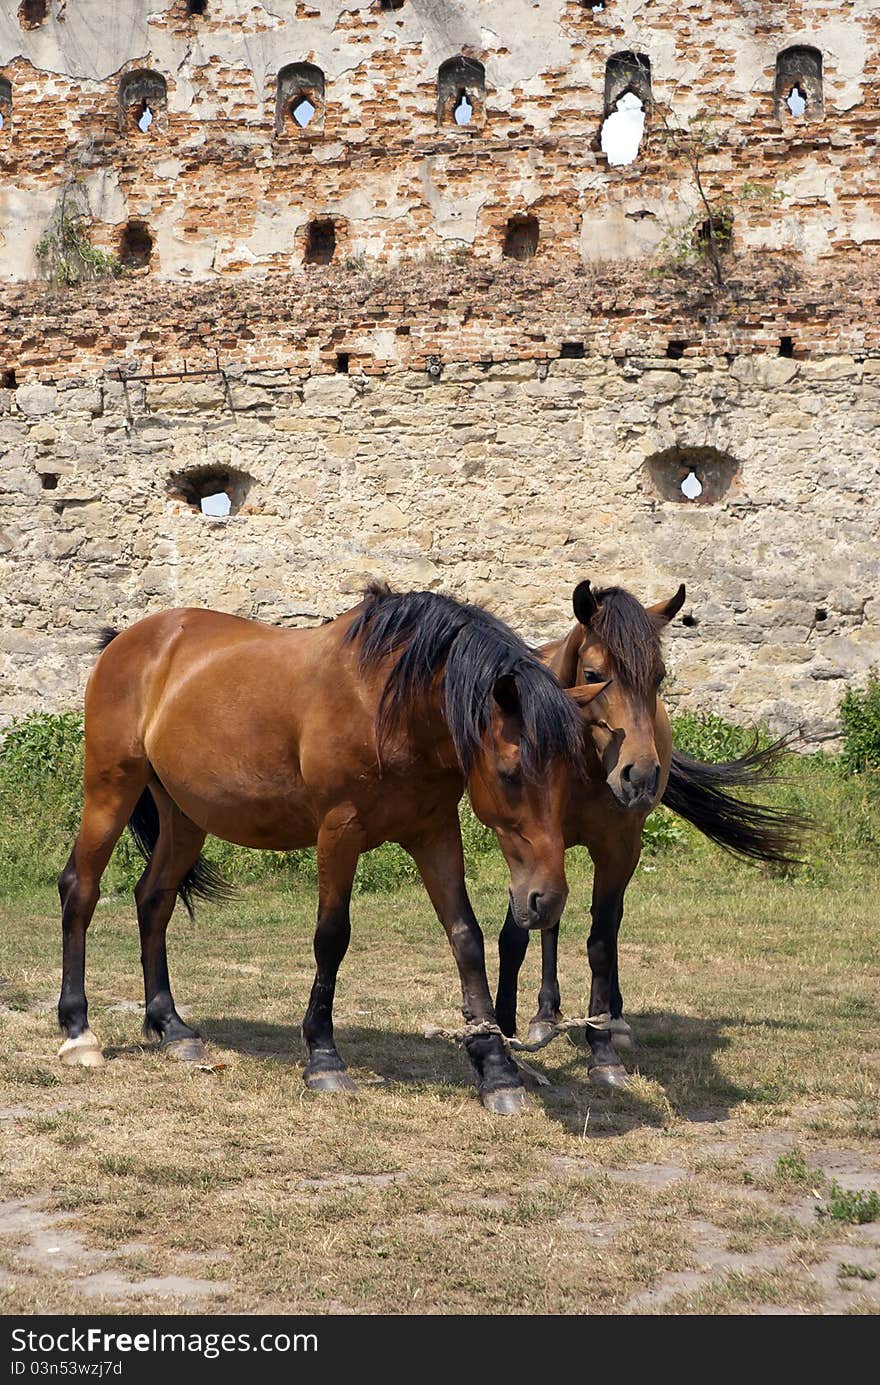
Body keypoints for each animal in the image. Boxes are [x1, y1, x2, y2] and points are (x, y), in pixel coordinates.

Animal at [58, 584, 606, 1113]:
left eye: (570, 775)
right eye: (511, 774)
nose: (545, 900)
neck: (386, 704)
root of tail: (128, 640)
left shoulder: (434, 832)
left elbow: (465, 938)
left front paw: (496, 1070)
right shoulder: (339, 830)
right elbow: (331, 937)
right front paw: (323, 1058)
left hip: (185, 816)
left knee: (154, 900)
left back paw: (171, 1027)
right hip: (110, 788)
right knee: (80, 889)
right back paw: (78, 1032)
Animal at [496, 578, 803, 1085]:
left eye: (658, 677)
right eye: (594, 671)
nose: (639, 776)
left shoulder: (619, 850)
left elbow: (601, 942)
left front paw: (602, 1048)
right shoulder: (529, 845)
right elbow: (517, 934)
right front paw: (504, 1032)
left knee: (609, 922)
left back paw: (614, 1019)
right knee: (550, 922)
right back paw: (545, 1015)